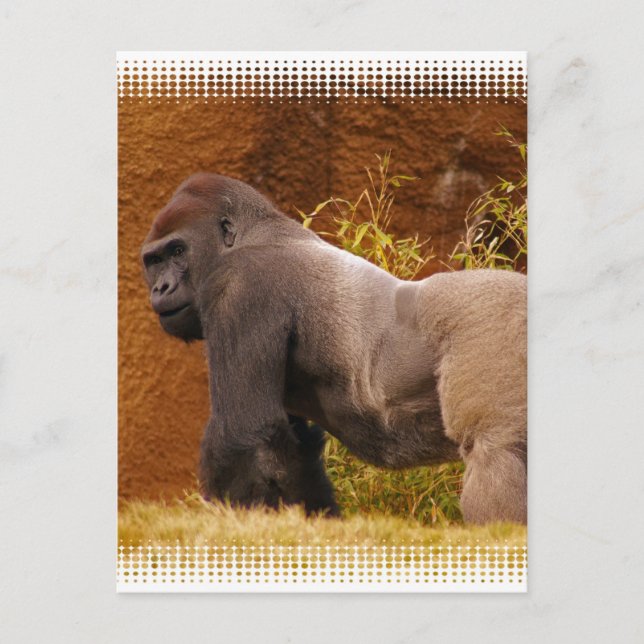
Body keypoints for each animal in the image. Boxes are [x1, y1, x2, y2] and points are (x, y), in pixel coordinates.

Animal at [141, 173, 527, 524]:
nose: (161, 288)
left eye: (177, 251)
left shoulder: (239, 286)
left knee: (493, 449)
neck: (252, 235)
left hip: (491, 317)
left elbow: (244, 434)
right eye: (154, 261)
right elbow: (292, 453)